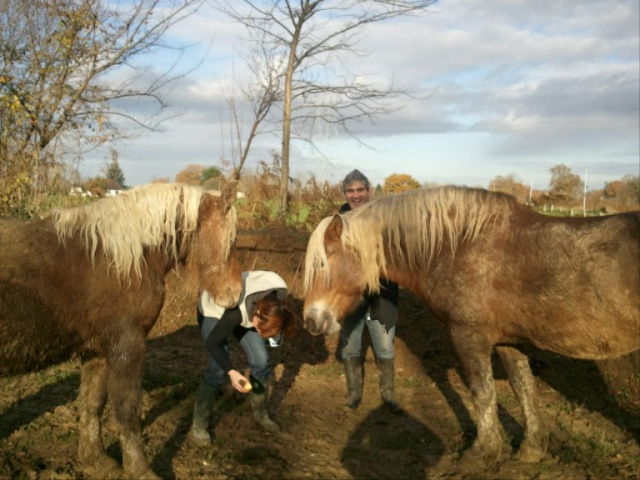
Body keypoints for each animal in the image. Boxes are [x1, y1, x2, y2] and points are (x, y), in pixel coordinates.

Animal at [1, 182, 241, 478]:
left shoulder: (96, 352)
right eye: (232, 239)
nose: (235, 293)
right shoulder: (128, 345)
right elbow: (127, 408)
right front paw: (140, 469)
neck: (121, 261)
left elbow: (93, 403)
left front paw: (95, 460)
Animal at [304, 186, 640, 470]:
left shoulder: (469, 336)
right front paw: (530, 449)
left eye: (322, 265)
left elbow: (482, 392)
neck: (457, 246)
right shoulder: (508, 342)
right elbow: (523, 387)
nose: (311, 321)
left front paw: (481, 454)